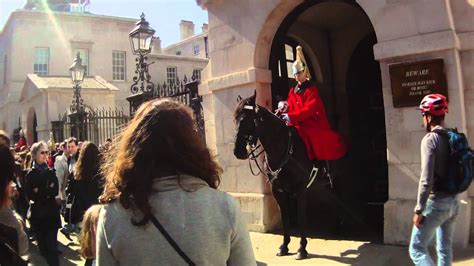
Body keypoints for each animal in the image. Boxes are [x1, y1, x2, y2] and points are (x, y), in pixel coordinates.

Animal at [232, 95, 336, 260]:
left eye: (246, 119)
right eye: (234, 119)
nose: (238, 151)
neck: (282, 151)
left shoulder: (300, 190)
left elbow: (301, 217)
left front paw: (302, 248)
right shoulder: (278, 191)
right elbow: (284, 216)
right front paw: (284, 246)